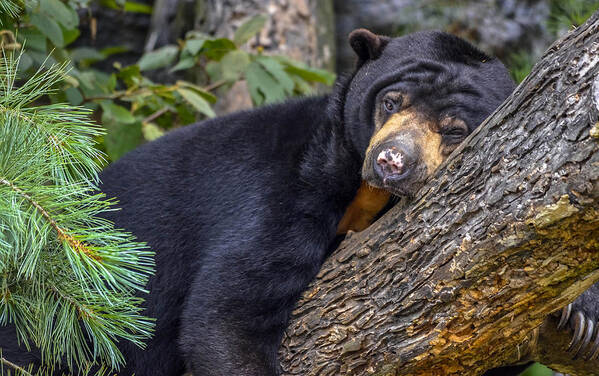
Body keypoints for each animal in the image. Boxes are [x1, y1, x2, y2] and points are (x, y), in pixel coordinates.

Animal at [0, 27, 592, 374]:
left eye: (453, 129)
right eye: (391, 101)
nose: (391, 161)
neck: (365, 195)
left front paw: (576, 314)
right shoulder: (281, 190)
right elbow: (229, 311)